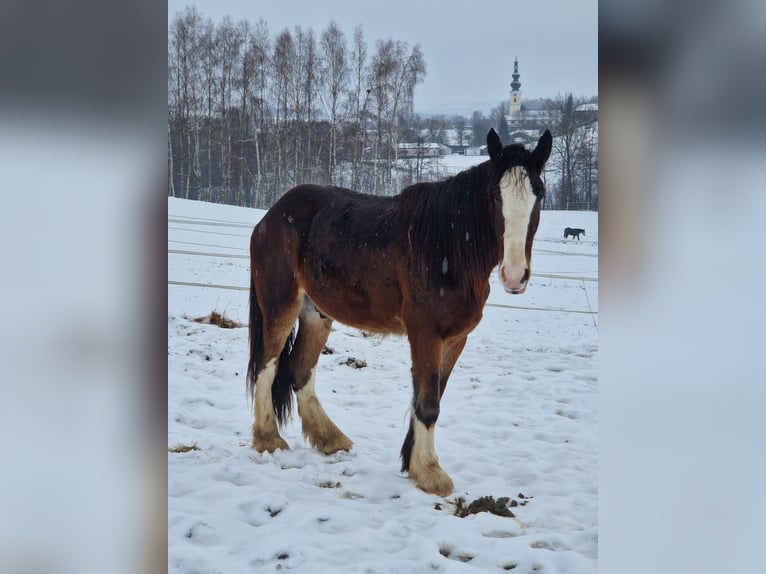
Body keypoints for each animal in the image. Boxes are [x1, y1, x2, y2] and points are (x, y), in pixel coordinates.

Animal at [246, 128, 552, 496]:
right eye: (495, 194)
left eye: (540, 194)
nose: (515, 275)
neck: (448, 246)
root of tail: (273, 213)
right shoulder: (425, 334)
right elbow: (428, 401)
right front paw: (430, 472)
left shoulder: (455, 339)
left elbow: (432, 395)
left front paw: (412, 462)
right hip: (280, 305)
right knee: (267, 364)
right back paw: (268, 439)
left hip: (316, 313)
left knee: (298, 370)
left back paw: (330, 439)